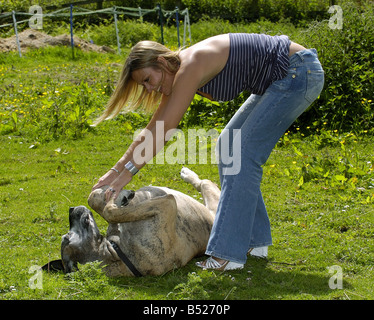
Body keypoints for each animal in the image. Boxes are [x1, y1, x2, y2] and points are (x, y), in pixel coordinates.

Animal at [43, 168, 222, 278]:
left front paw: (112, 194)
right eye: (66, 237)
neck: (117, 252)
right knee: (204, 182)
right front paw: (114, 198)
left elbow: (95, 200)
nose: (71, 209)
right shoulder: (167, 206)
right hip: (213, 202)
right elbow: (109, 211)